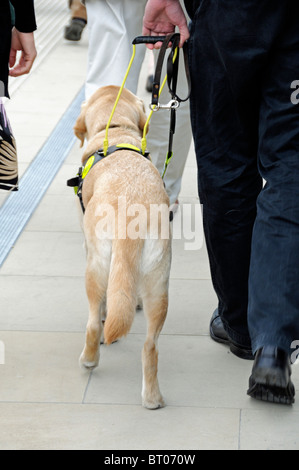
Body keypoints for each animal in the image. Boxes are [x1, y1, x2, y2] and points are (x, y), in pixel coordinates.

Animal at [73, 86, 172, 410]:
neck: (115, 129)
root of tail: (133, 211)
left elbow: (106, 306)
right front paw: (133, 303)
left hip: (96, 267)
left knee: (94, 322)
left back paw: (90, 358)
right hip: (159, 282)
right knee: (150, 346)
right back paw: (152, 399)